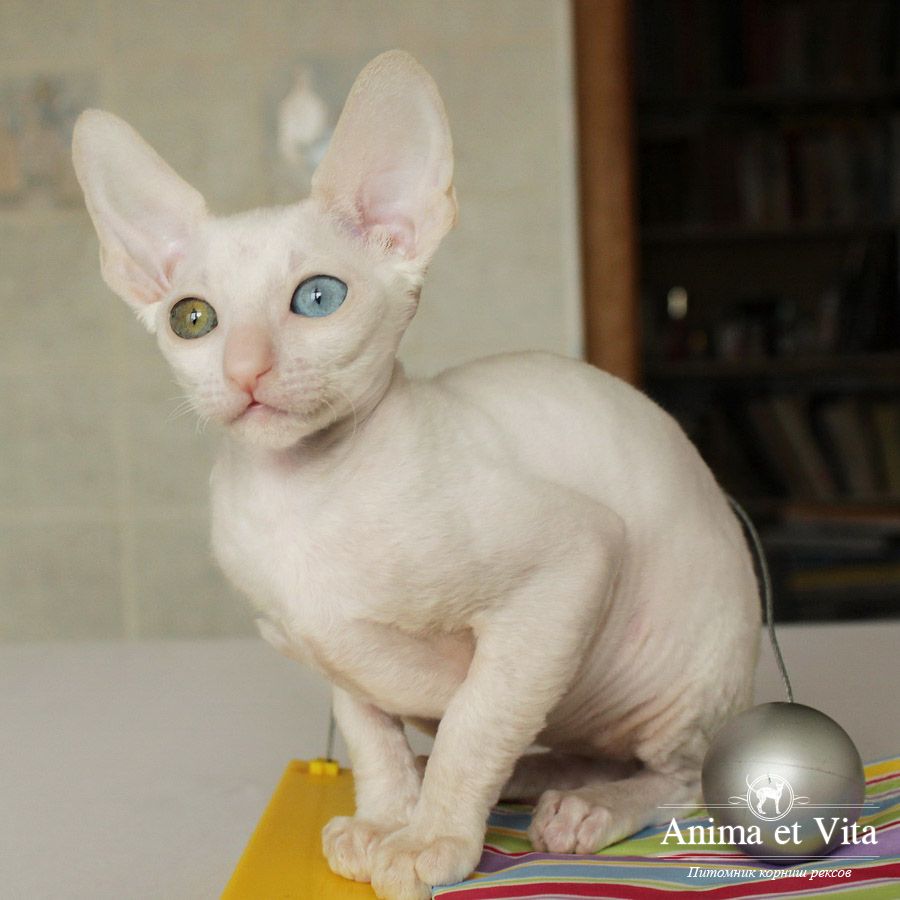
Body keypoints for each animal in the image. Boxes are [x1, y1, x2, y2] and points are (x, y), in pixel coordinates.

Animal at [73, 50, 760, 900]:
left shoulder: (571, 561)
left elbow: (478, 717)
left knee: (682, 776)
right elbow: (371, 736)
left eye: (318, 298)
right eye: (191, 318)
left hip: (683, 672)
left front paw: (432, 836)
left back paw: (589, 809)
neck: (300, 497)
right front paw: (383, 819)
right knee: (577, 743)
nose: (244, 370)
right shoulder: (327, 648)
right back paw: (530, 778)